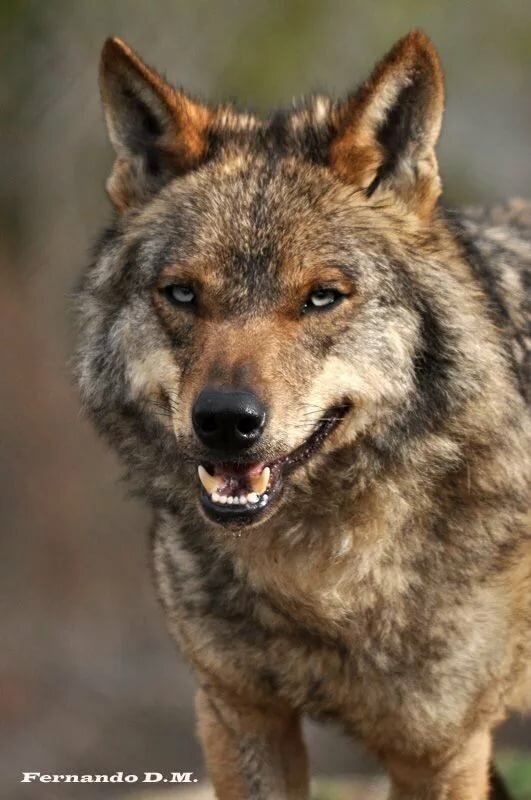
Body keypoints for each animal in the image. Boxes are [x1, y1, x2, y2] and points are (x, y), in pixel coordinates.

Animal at [76, 30, 530, 800]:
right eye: (182, 294)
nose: (226, 420)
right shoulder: (238, 714)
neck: (317, 575)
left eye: (321, 297)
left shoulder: (440, 751)